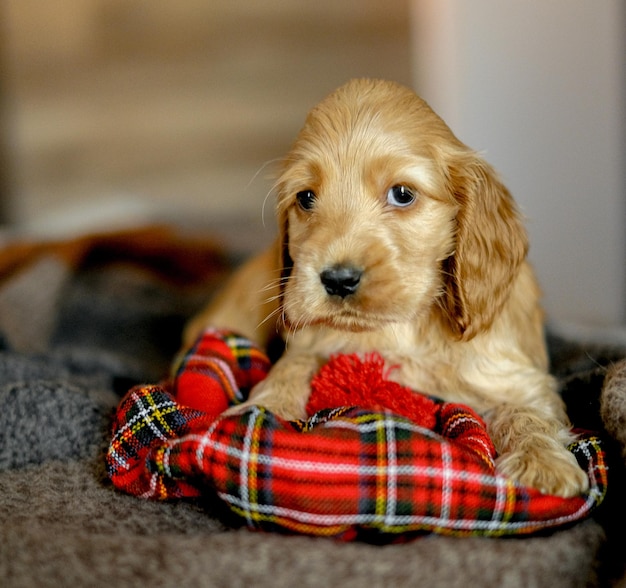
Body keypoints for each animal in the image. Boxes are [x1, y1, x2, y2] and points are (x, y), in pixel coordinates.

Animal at [185, 78, 584, 498]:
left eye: (402, 194)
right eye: (306, 197)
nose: (338, 279)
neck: (405, 329)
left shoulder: (513, 373)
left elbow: (526, 410)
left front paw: (542, 464)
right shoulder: (314, 340)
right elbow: (294, 364)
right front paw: (262, 411)